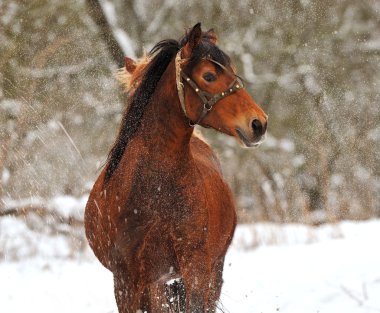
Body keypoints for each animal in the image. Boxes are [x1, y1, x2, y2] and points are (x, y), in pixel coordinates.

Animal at [85, 23, 268, 310]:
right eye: (209, 76)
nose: (258, 123)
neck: (155, 188)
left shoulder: (196, 267)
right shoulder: (126, 280)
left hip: (210, 271)